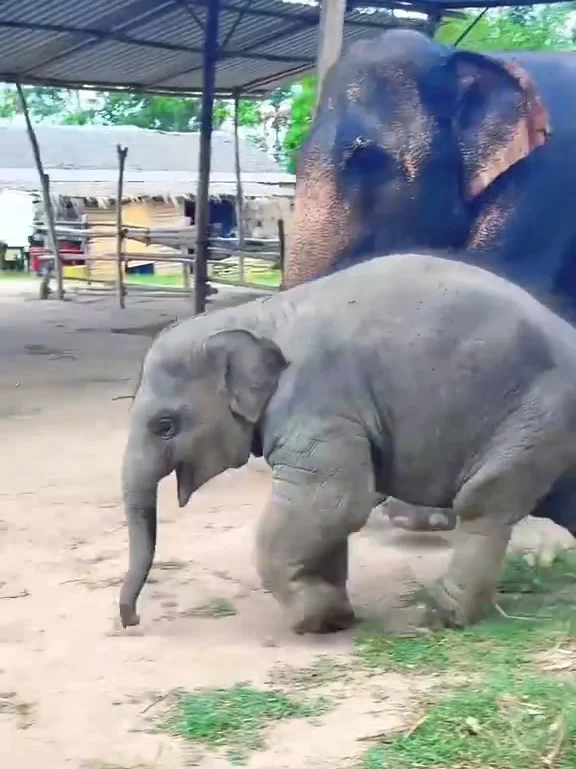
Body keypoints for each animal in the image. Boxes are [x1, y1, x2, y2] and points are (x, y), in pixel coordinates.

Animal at [120, 252, 576, 635]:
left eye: (164, 426)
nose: (131, 620)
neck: (257, 315)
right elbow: (331, 513)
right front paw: (337, 617)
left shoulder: (319, 406)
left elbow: (333, 501)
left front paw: (314, 622)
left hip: (538, 416)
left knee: (484, 501)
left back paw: (439, 617)